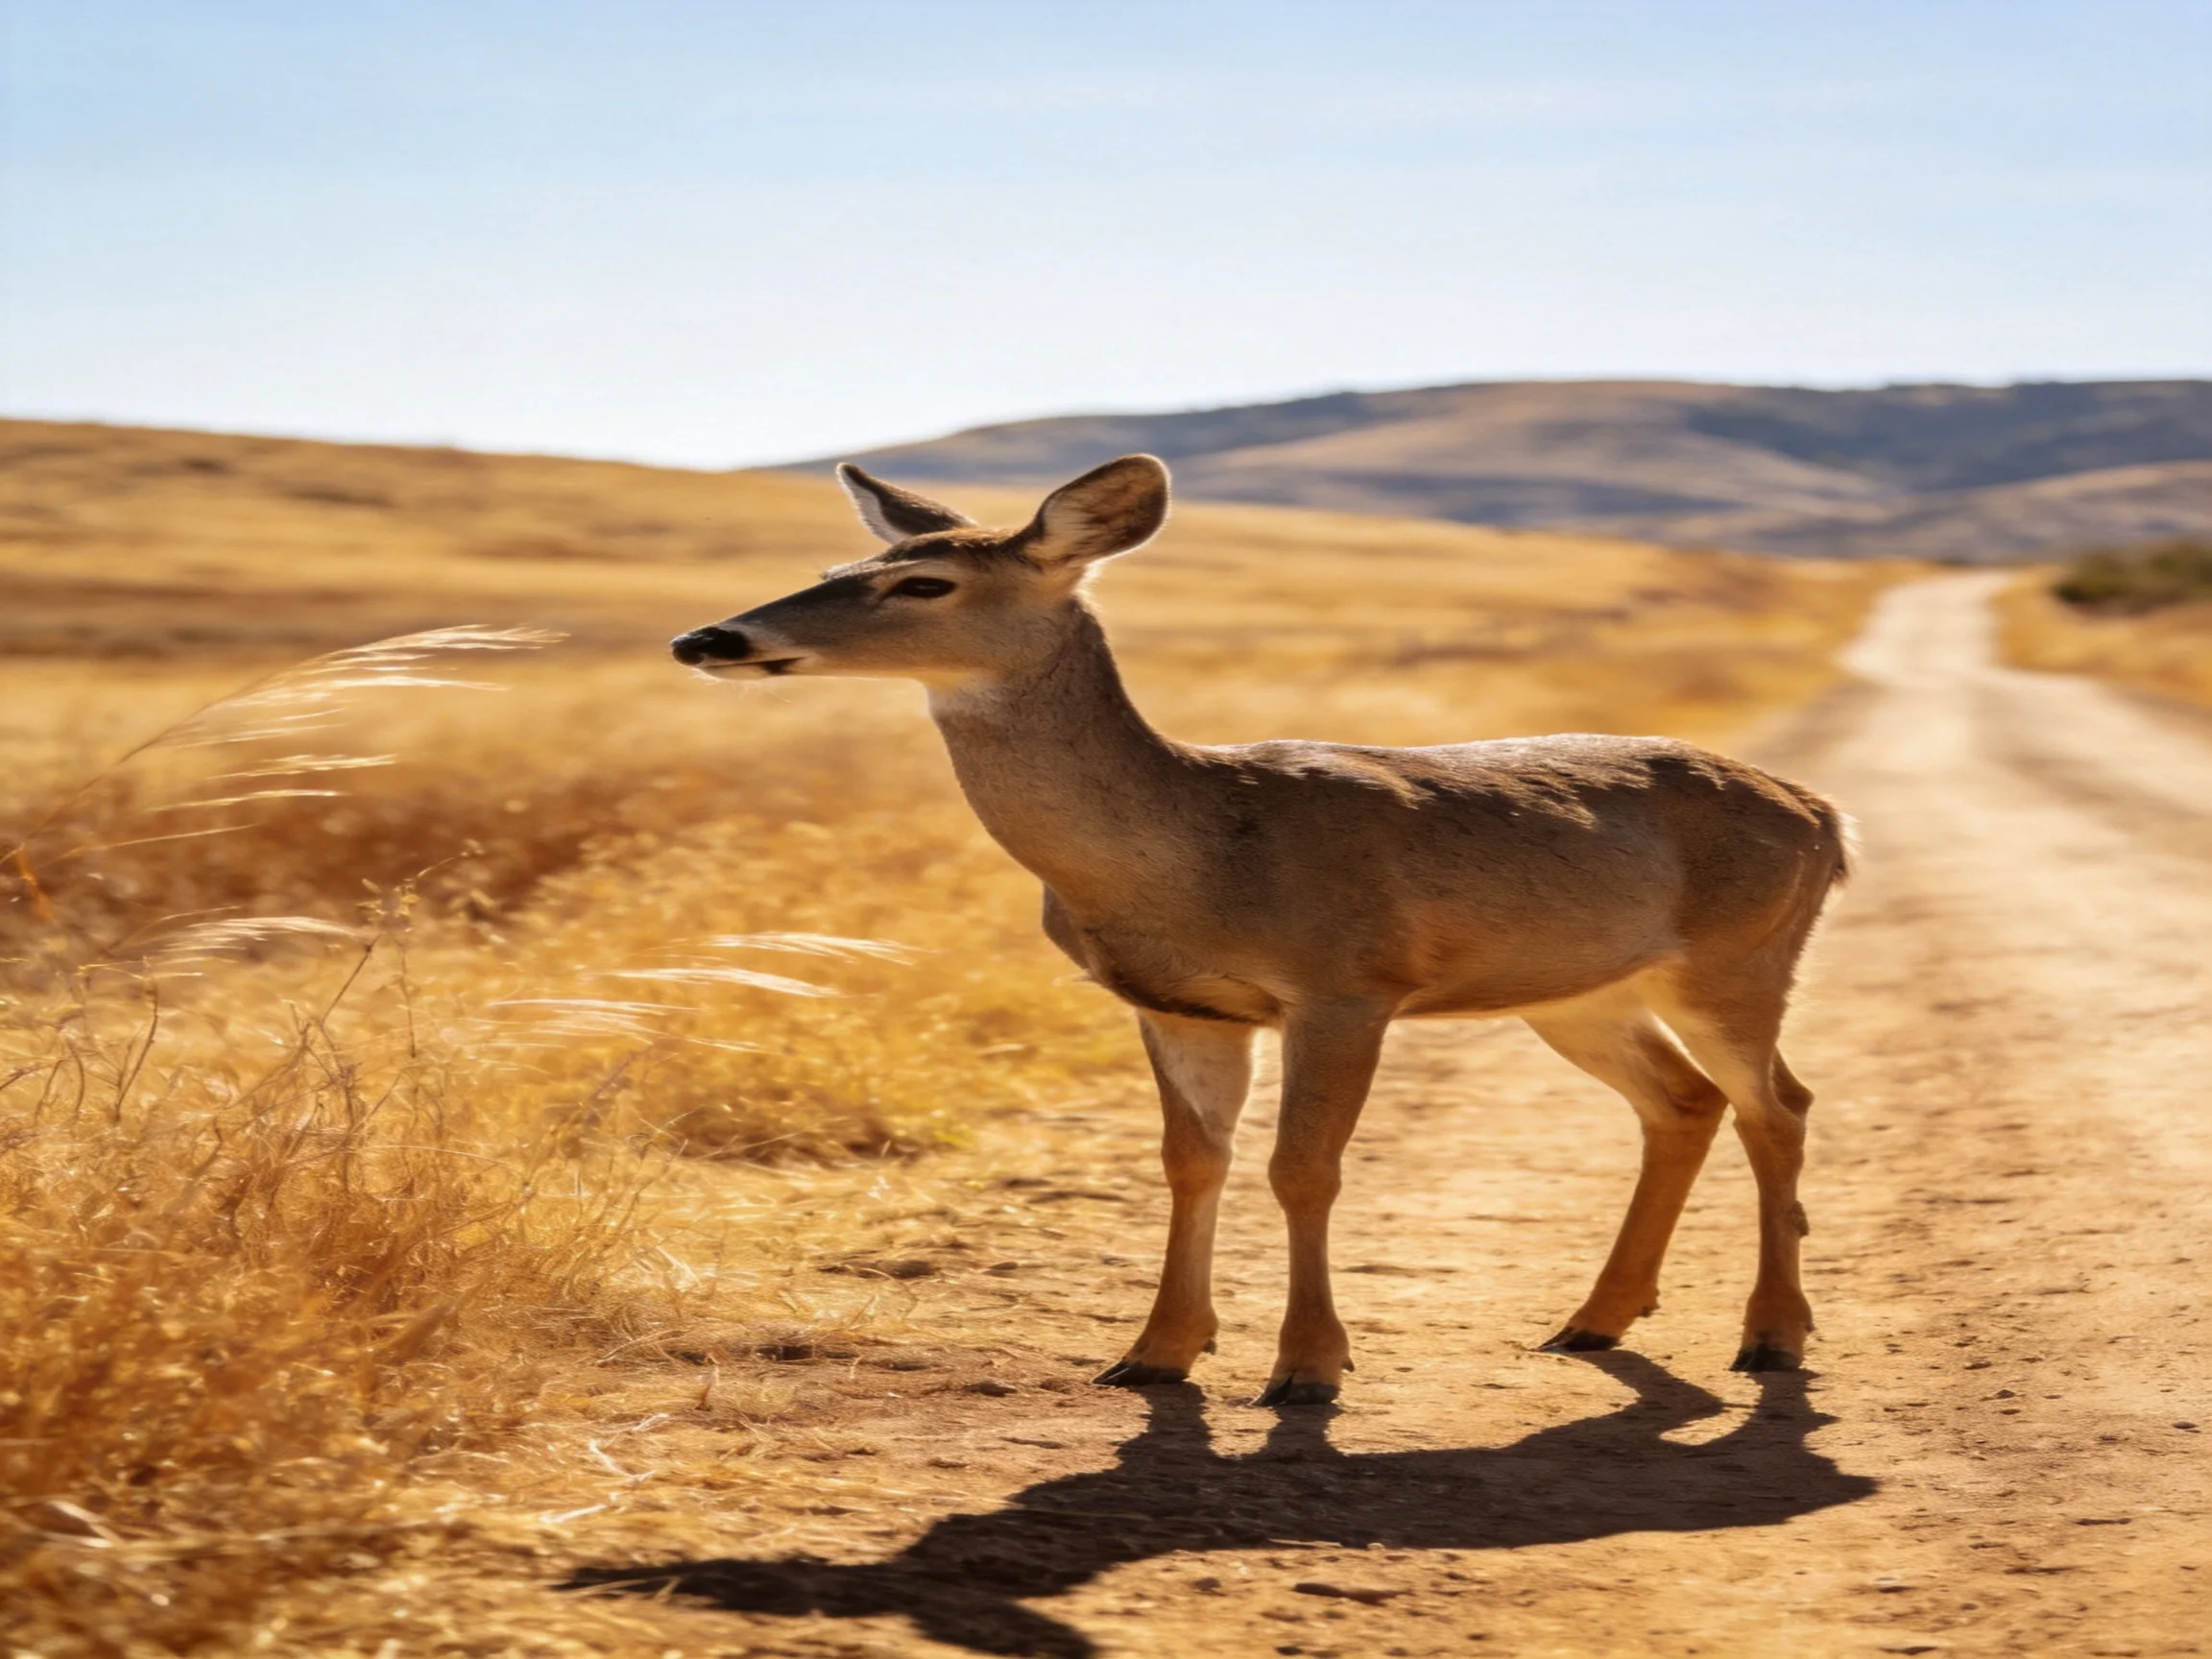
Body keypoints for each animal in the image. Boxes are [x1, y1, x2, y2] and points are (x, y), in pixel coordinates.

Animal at [671, 456, 1849, 1405]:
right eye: (837, 566)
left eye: (923, 582)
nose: (706, 636)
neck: (1196, 848)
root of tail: (1820, 813)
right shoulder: (1179, 1005)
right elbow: (1192, 1161)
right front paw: (1154, 1352)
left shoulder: (1346, 985)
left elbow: (1303, 1169)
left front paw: (1308, 1369)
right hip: (1578, 993)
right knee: (1684, 1102)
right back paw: (1593, 1320)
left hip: (1742, 954)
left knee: (1778, 1104)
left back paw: (1773, 1338)